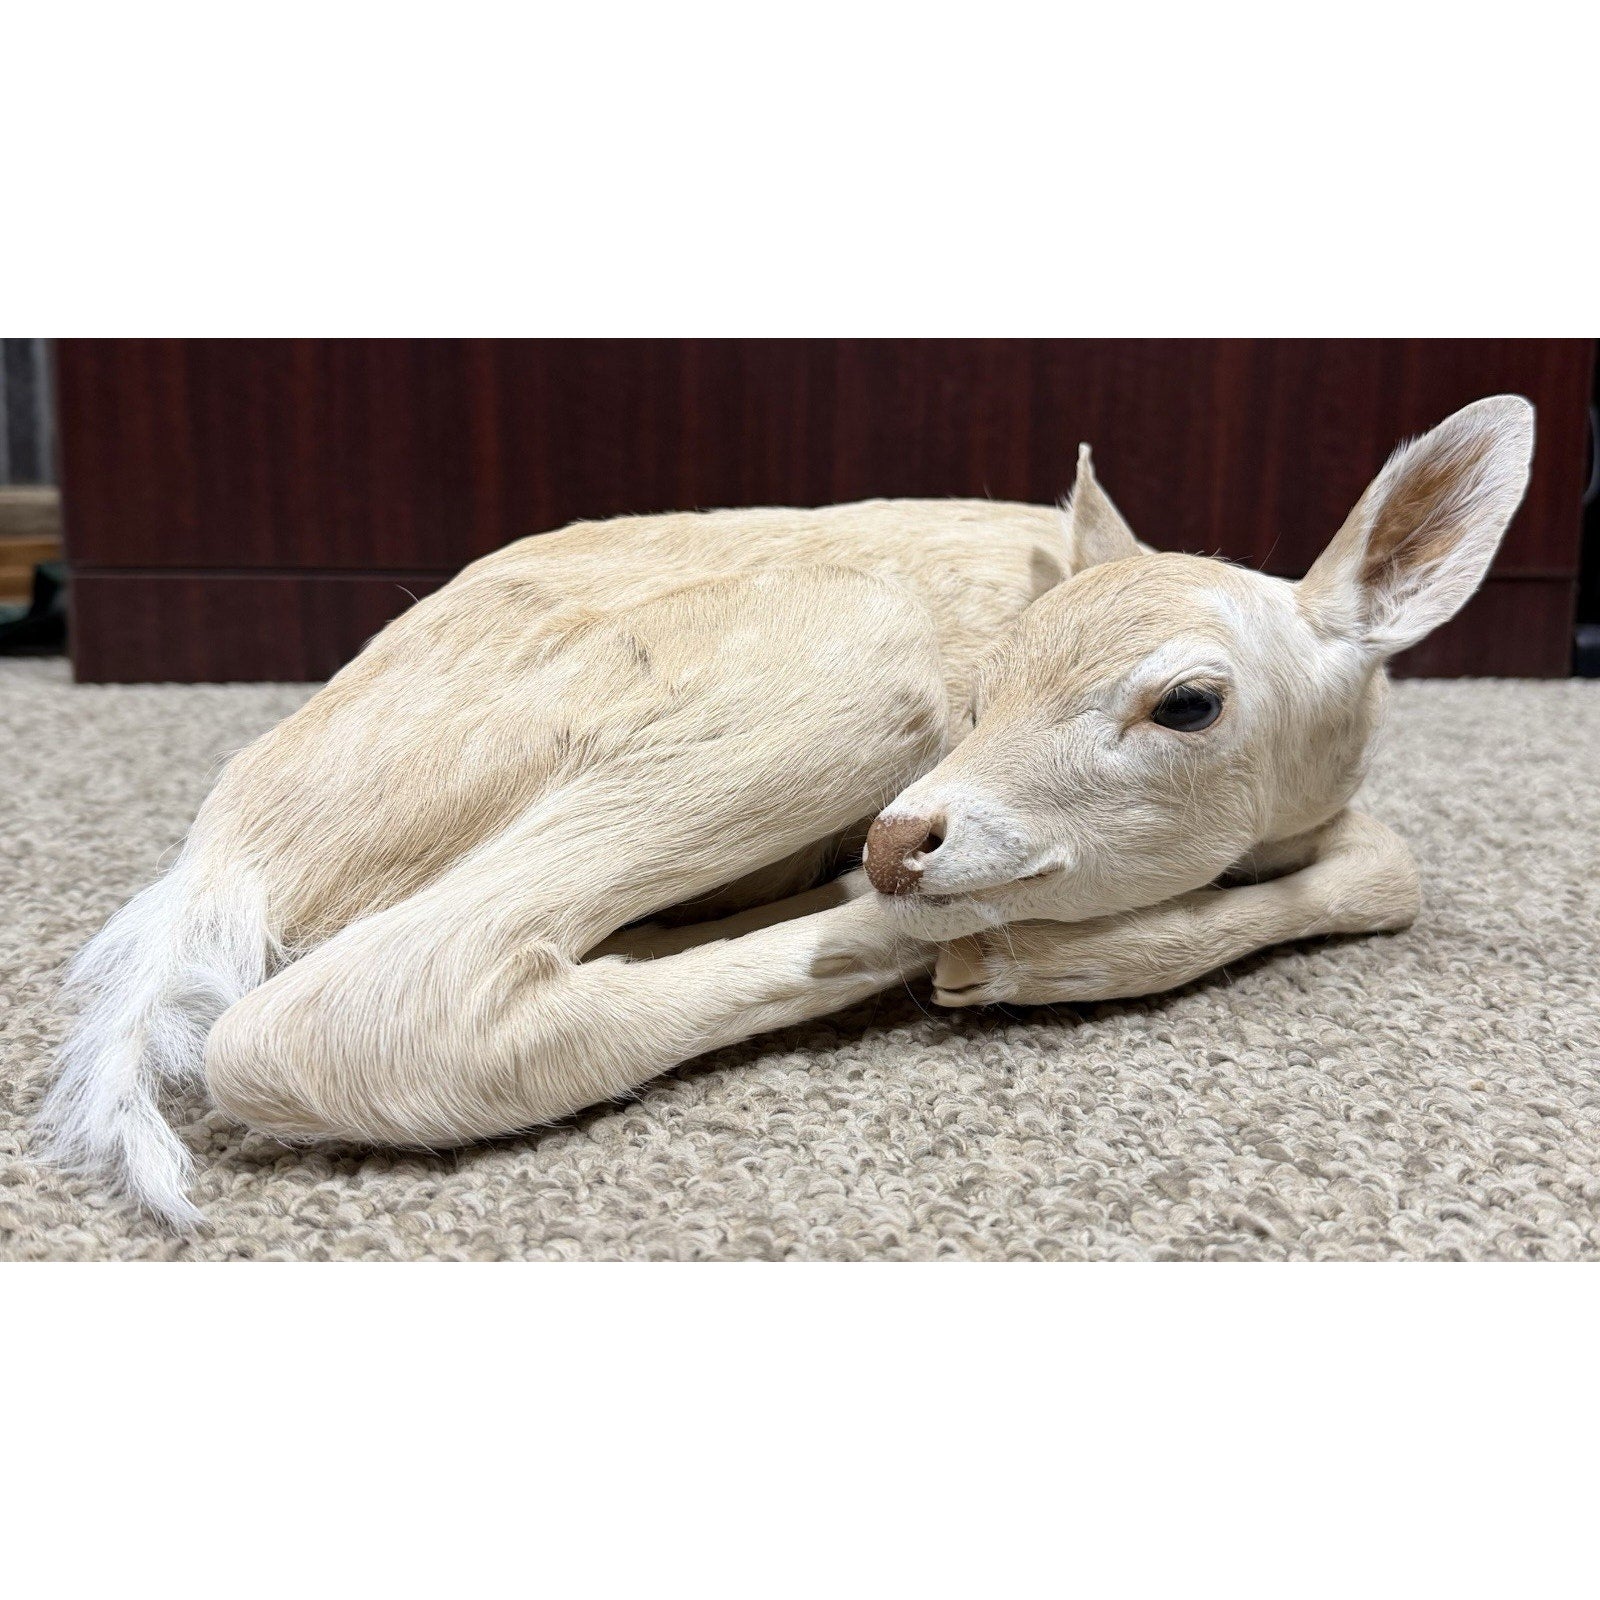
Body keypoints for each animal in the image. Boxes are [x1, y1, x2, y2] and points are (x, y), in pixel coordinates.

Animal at [37, 396, 1535, 1229]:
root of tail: (233, 855)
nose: (900, 836)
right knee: (348, 1013)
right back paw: (902, 932)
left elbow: (1387, 861)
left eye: (1188, 704)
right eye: (987, 684)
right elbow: (1386, 862)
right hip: (844, 676)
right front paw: (1043, 956)